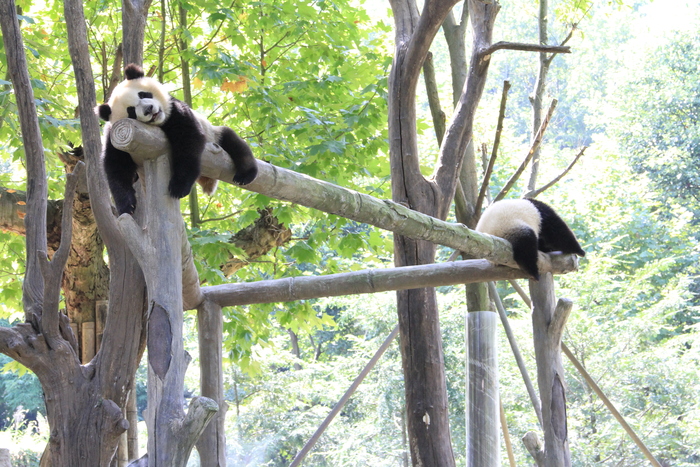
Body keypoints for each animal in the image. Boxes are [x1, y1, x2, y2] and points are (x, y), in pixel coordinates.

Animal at [94, 63, 256, 215]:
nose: (149, 110)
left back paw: (245, 174)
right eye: (131, 111)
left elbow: (187, 141)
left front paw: (178, 187)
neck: (160, 122)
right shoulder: (114, 136)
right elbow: (117, 168)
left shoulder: (175, 111)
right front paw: (127, 206)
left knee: (232, 142)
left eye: (144, 94)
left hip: (214, 134)